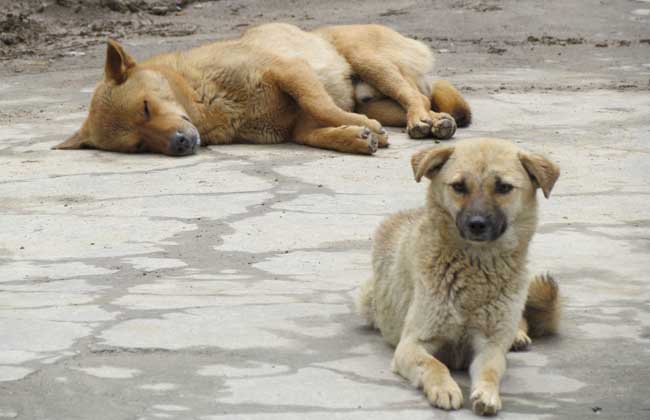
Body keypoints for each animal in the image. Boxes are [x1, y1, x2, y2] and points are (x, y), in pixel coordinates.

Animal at [53, 22, 468, 156]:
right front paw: (355, 136)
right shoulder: (297, 126)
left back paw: (424, 121)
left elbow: (323, 106)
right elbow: (318, 132)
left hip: (368, 61)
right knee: (419, 101)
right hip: (376, 97)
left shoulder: (290, 71)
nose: (180, 144)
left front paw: (362, 128)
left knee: (416, 97)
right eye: (138, 146)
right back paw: (429, 121)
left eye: (145, 107)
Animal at [356, 139, 560, 416]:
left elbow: (490, 371)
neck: (475, 269)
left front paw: (487, 394)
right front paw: (444, 388)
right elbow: (434, 364)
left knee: (521, 320)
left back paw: (518, 335)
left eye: (504, 187)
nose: (477, 224)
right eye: (459, 186)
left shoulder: (490, 347)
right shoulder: (411, 344)